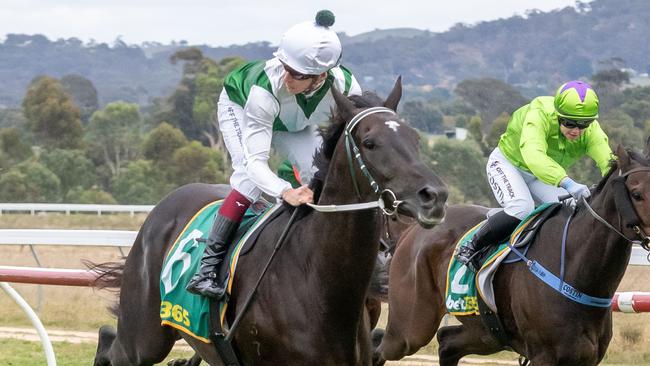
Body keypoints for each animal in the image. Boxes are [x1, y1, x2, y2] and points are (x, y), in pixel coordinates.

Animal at [91, 79, 448, 366]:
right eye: (370, 143)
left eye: (415, 138)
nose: (435, 195)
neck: (319, 282)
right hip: (143, 339)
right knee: (111, 345)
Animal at [372, 141, 648, 366]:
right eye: (637, 193)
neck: (574, 271)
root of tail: (412, 230)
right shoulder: (544, 357)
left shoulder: (586, 358)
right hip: (411, 327)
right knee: (379, 342)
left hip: (486, 332)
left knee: (447, 342)